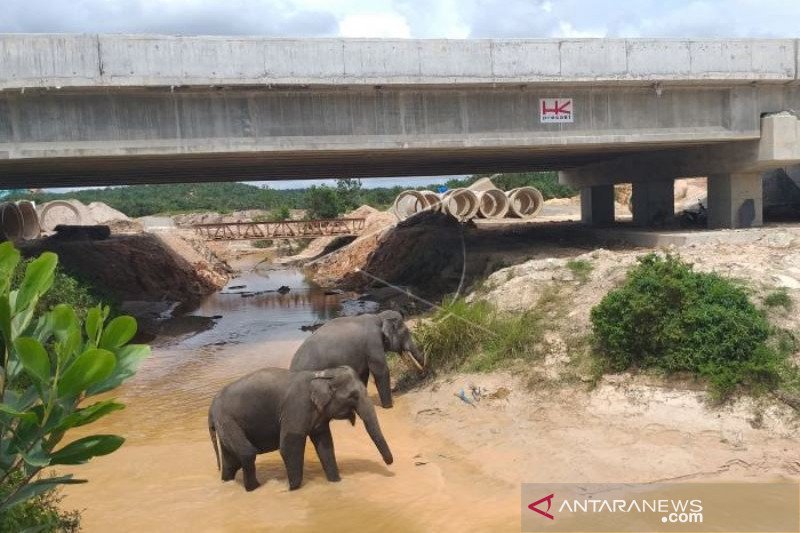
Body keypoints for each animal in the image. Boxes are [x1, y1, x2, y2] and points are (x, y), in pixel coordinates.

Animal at [208, 366, 392, 490]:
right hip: (227, 421)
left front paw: (336, 482)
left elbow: (325, 445)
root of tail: (211, 409)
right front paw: (293, 490)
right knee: (247, 454)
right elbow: (289, 446)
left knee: (231, 461)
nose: (390, 464)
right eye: (353, 396)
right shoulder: (297, 407)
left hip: (226, 425)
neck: (321, 374)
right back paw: (256, 488)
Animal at [290, 308, 424, 408]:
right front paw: (388, 407)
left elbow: (363, 373)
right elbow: (380, 371)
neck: (378, 317)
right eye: (406, 332)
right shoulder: (372, 342)